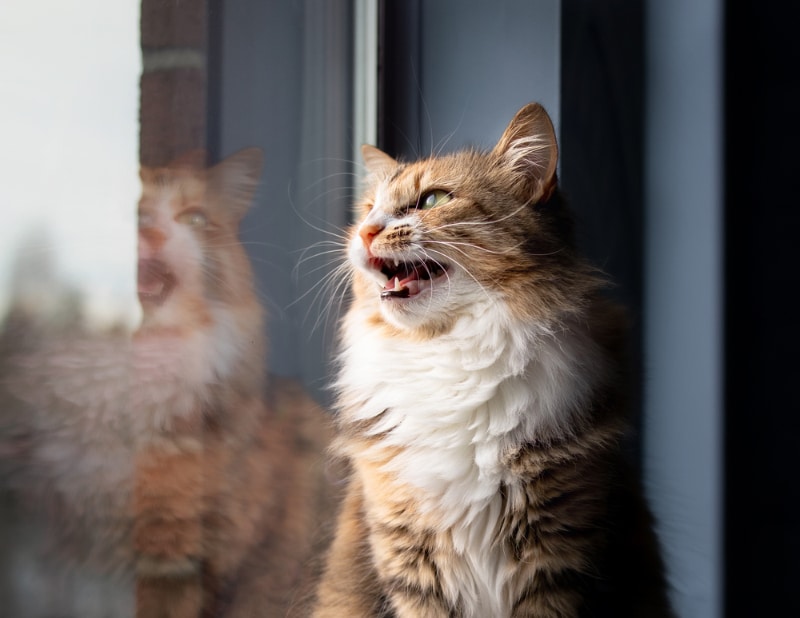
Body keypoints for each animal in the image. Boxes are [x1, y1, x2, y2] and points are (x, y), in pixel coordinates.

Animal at [312, 103, 676, 612]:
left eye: (432, 200)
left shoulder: (557, 555)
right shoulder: (410, 561)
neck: (448, 353)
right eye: (367, 210)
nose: (364, 232)